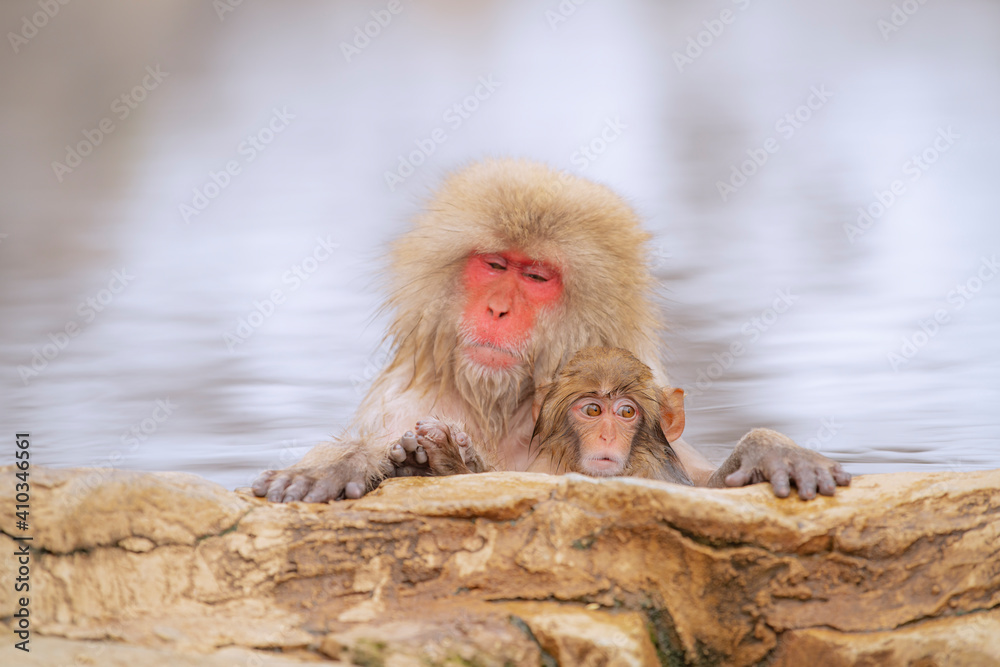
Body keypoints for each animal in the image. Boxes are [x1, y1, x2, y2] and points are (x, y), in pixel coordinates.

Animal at [252, 158, 844, 503]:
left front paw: (765, 451)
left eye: (535, 277)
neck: (504, 408)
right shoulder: (399, 404)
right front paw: (349, 459)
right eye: (494, 266)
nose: (497, 310)